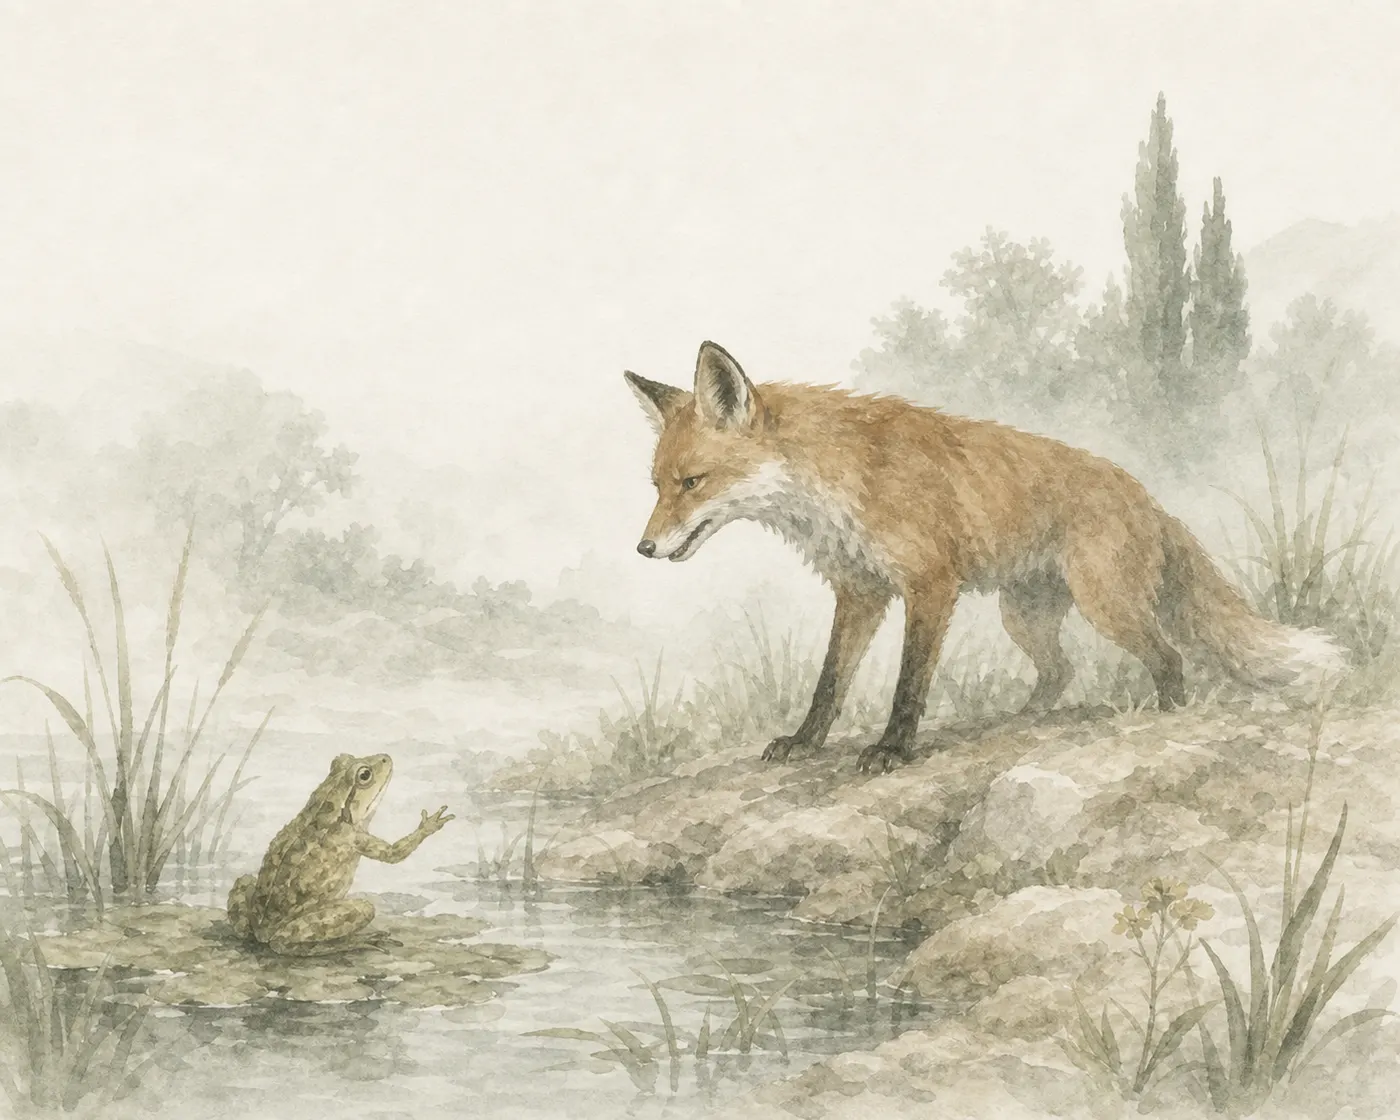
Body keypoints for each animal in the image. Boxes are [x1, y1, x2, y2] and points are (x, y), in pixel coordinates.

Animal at [624, 341, 1348, 774]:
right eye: (657, 485)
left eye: (693, 483)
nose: (644, 548)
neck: (839, 479)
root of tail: (1148, 496)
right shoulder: (860, 590)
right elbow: (829, 682)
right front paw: (805, 742)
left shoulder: (929, 583)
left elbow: (908, 685)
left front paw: (892, 749)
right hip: (1022, 616)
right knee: (1061, 670)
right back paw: (1023, 720)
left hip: (1105, 605)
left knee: (1169, 658)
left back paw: (1164, 714)